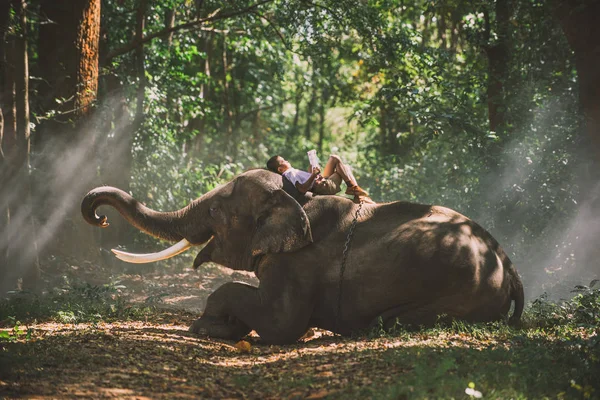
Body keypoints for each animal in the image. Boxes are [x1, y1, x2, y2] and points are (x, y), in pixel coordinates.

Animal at [82, 169, 524, 344]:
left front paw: (207, 328)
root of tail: (510, 265)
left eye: (216, 212)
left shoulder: (298, 265)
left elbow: (282, 324)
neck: (295, 199)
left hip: (459, 295)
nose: (99, 218)